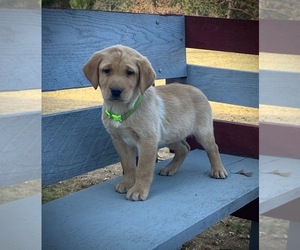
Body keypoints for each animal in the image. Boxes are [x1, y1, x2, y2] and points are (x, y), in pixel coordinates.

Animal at [82, 45, 227, 201]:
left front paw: (138, 190)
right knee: (184, 148)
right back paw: (170, 168)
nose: (115, 91)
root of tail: (197, 89)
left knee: (213, 148)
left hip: (202, 132)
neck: (121, 110)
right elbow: (128, 165)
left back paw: (218, 170)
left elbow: (143, 169)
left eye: (130, 73)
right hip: (169, 136)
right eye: (107, 70)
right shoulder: (119, 140)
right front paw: (127, 183)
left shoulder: (148, 140)